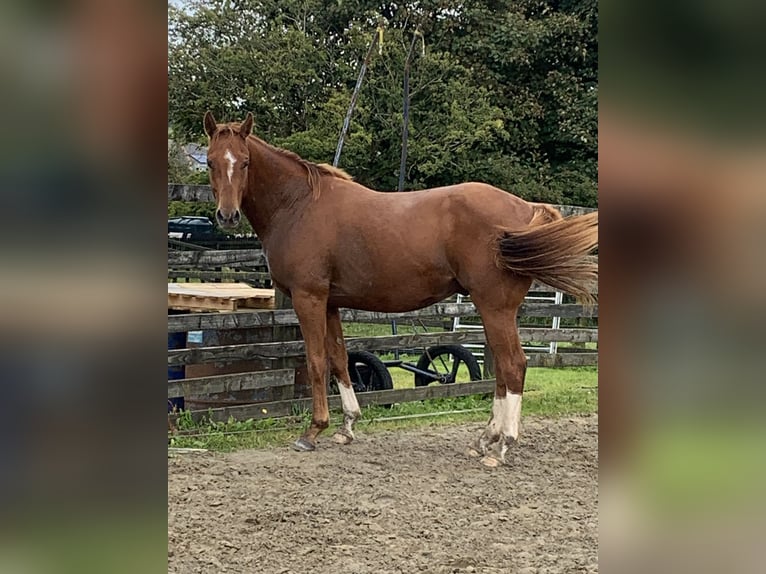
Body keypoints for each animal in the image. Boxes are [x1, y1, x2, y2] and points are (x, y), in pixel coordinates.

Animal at [204, 111, 600, 468]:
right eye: (210, 161)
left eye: (244, 162)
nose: (227, 216)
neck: (298, 204)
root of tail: (525, 208)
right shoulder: (330, 303)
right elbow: (339, 360)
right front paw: (347, 426)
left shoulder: (308, 298)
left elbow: (316, 361)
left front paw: (313, 431)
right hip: (496, 311)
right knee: (503, 372)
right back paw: (485, 440)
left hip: (495, 307)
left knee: (514, 366)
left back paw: (502, 447)